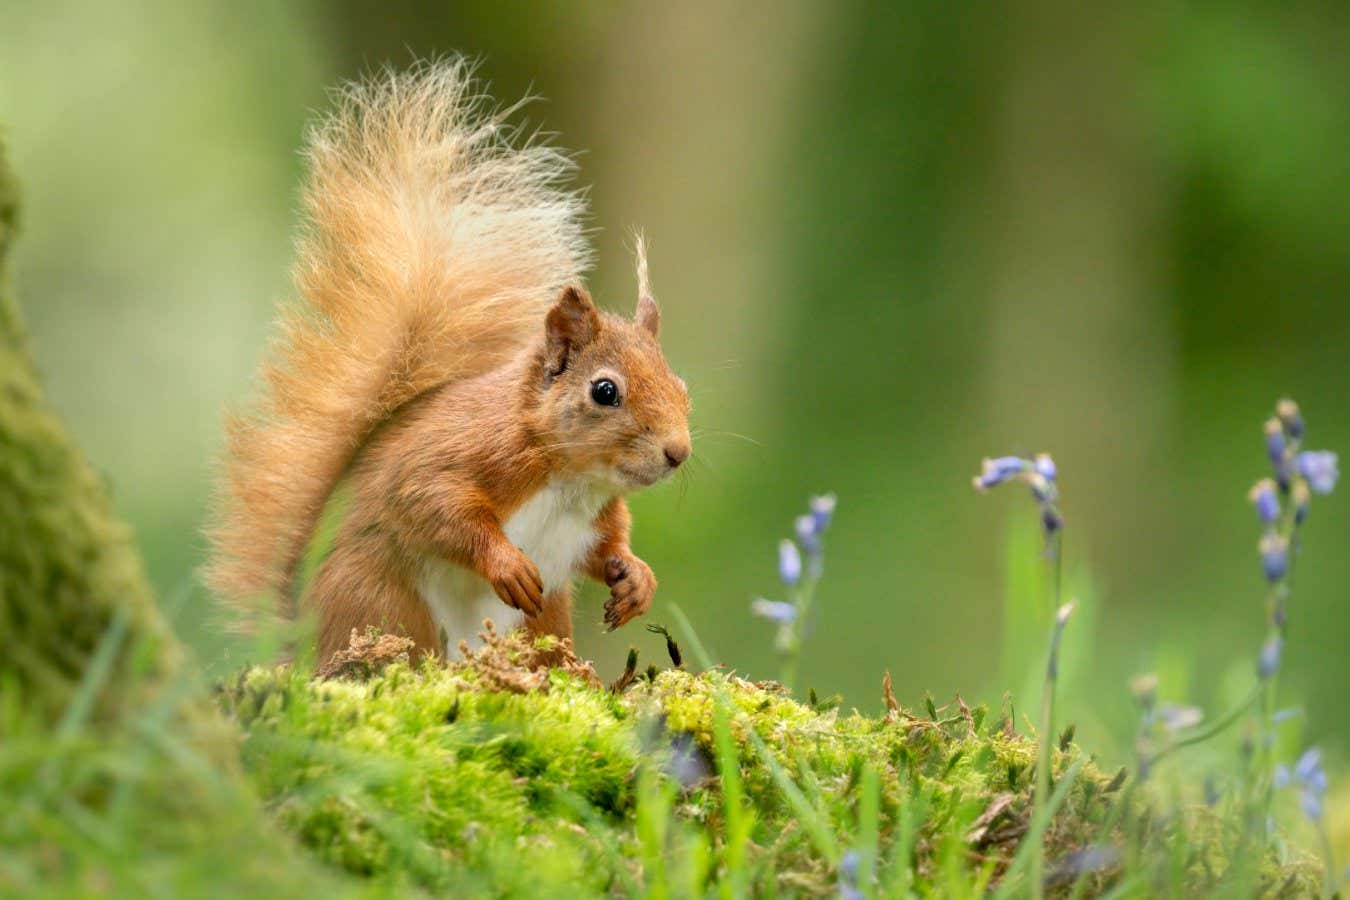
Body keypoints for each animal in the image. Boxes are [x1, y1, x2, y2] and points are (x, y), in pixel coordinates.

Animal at [205, 61, 691, 669]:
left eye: (682, 387)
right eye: (605, 391)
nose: (678, 453)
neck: (572, 481)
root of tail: (304, 648)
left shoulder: (595, 523)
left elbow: (608, 548)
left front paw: (637, 579)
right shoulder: (462, 453)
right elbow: (433, 504)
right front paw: (507, 564)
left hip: (540, 620)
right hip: (381, 599)